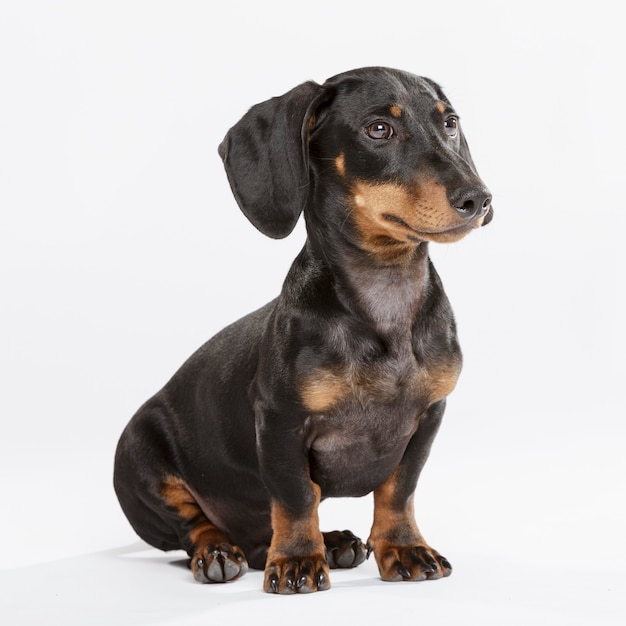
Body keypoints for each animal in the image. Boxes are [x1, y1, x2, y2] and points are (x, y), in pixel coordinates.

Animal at [113, 66, 492, 592]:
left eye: (450, 122)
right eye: (379, 129)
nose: (478, 198)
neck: (384, 297)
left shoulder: (428, 416)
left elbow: (399, 491)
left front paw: (403, 548)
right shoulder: (280, 423)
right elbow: (295, 497)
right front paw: (295, 560)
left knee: (257, 541)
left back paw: (331, 543)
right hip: (137, 461)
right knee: (196, 527)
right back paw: (218, 553)